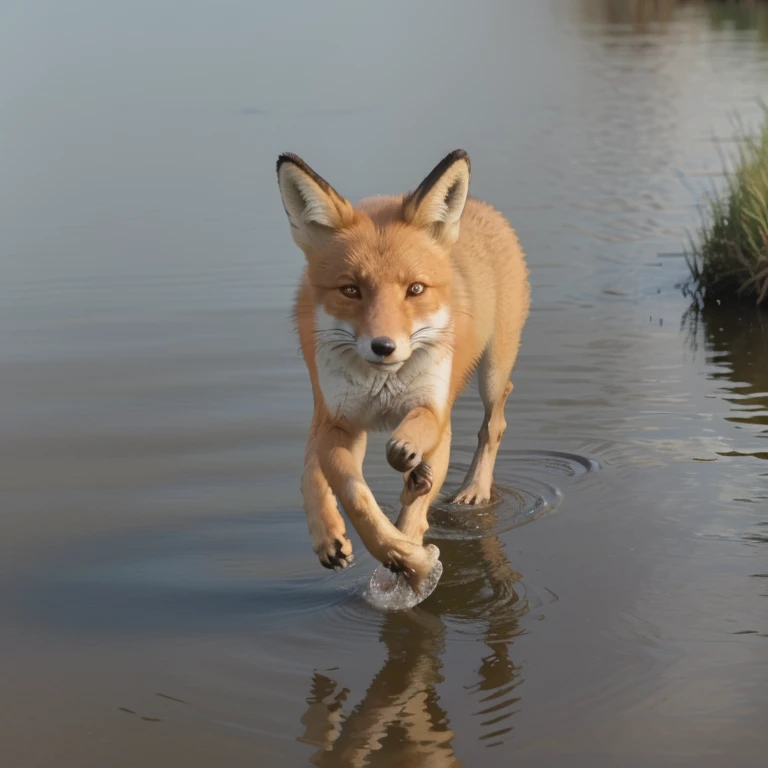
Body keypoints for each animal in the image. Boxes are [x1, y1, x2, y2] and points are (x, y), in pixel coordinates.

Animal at [274, 150, 528, 592]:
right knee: (311, 467)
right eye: (351, 290)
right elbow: (355, 498)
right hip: (323, 403)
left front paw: (414, 564)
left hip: (492, 374)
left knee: (494, 423)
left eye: (415, 289)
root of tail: (482, 208)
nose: (384, 346)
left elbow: (411, 494)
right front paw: (403, 558)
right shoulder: (340, 423)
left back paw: (472, 489)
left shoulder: (435, 413)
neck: (383, 390)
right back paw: (332, 533)